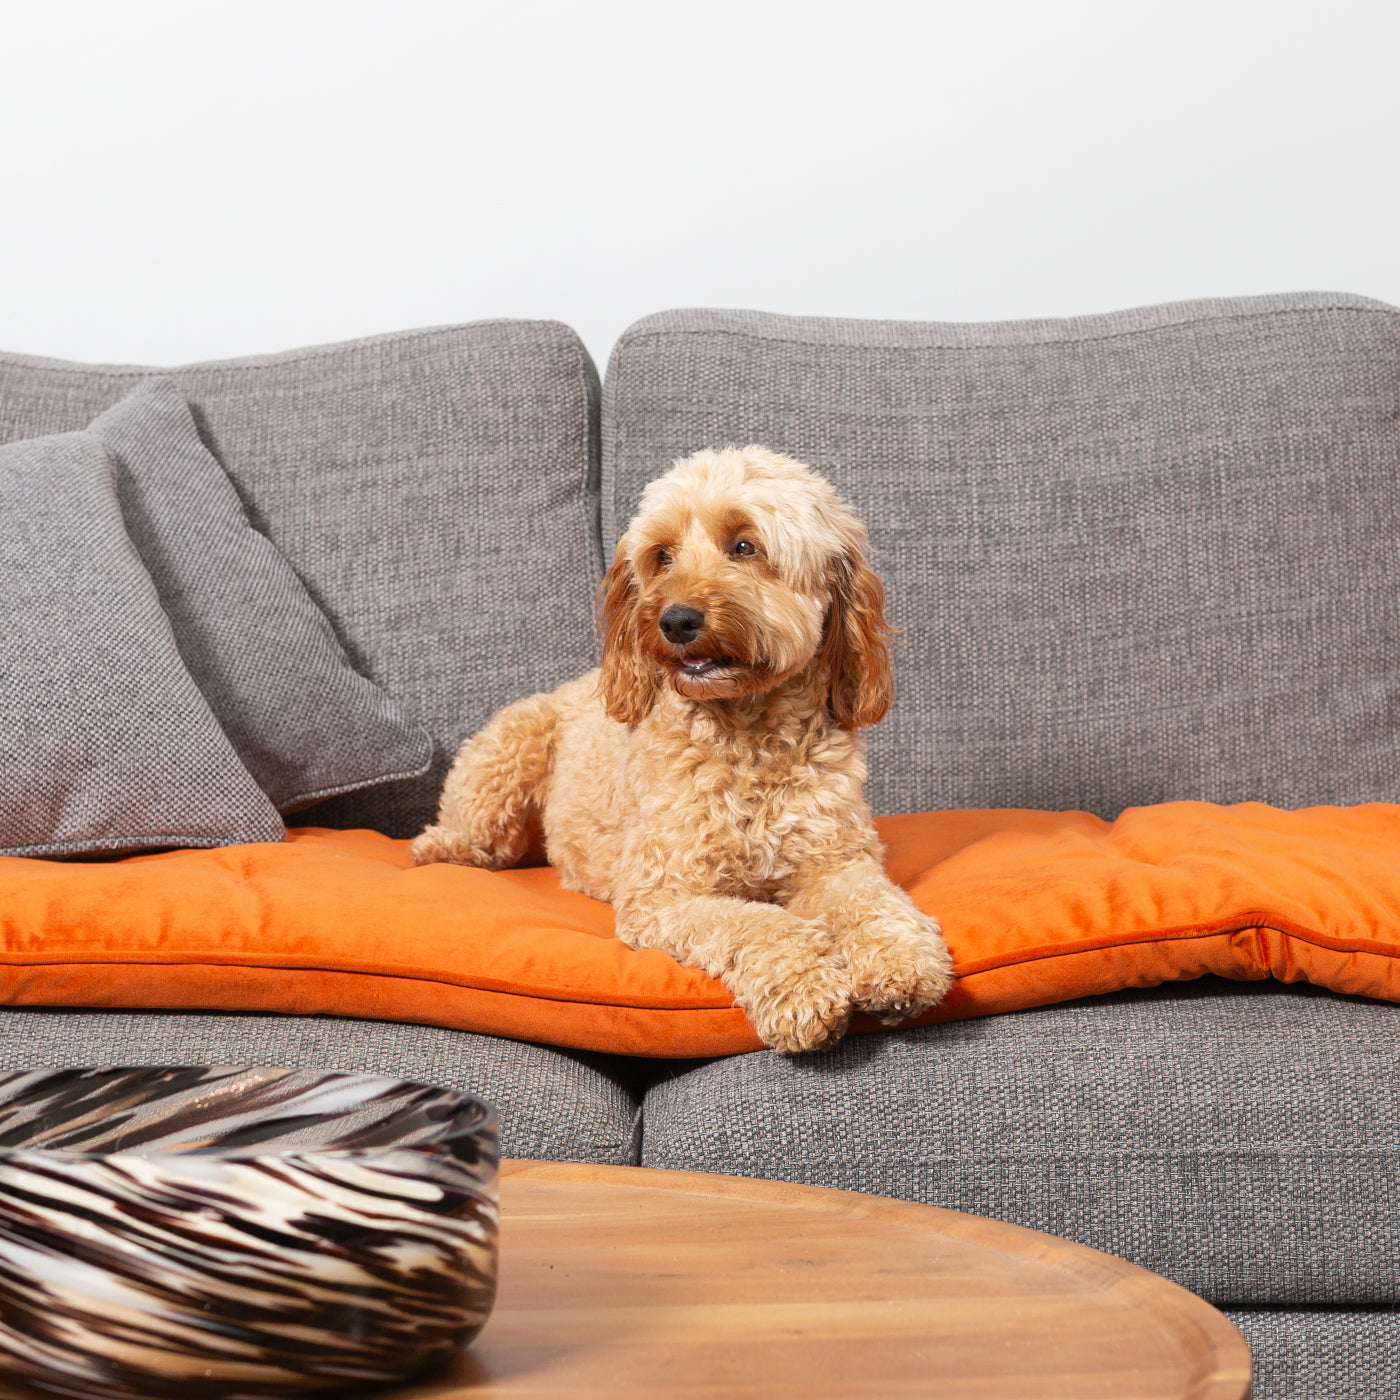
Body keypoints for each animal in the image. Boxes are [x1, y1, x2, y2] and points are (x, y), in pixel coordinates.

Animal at [408, 448, 957, 1052]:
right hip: (510, 750)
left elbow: (874, 902)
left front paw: (901, 959)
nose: (675, 620)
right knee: (471, 834)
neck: (748, 738)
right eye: (662, 556)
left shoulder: (835, 862)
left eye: (745, 546)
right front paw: (804, 989)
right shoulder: (664, 896)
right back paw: (443, 849)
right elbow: (756, 923)